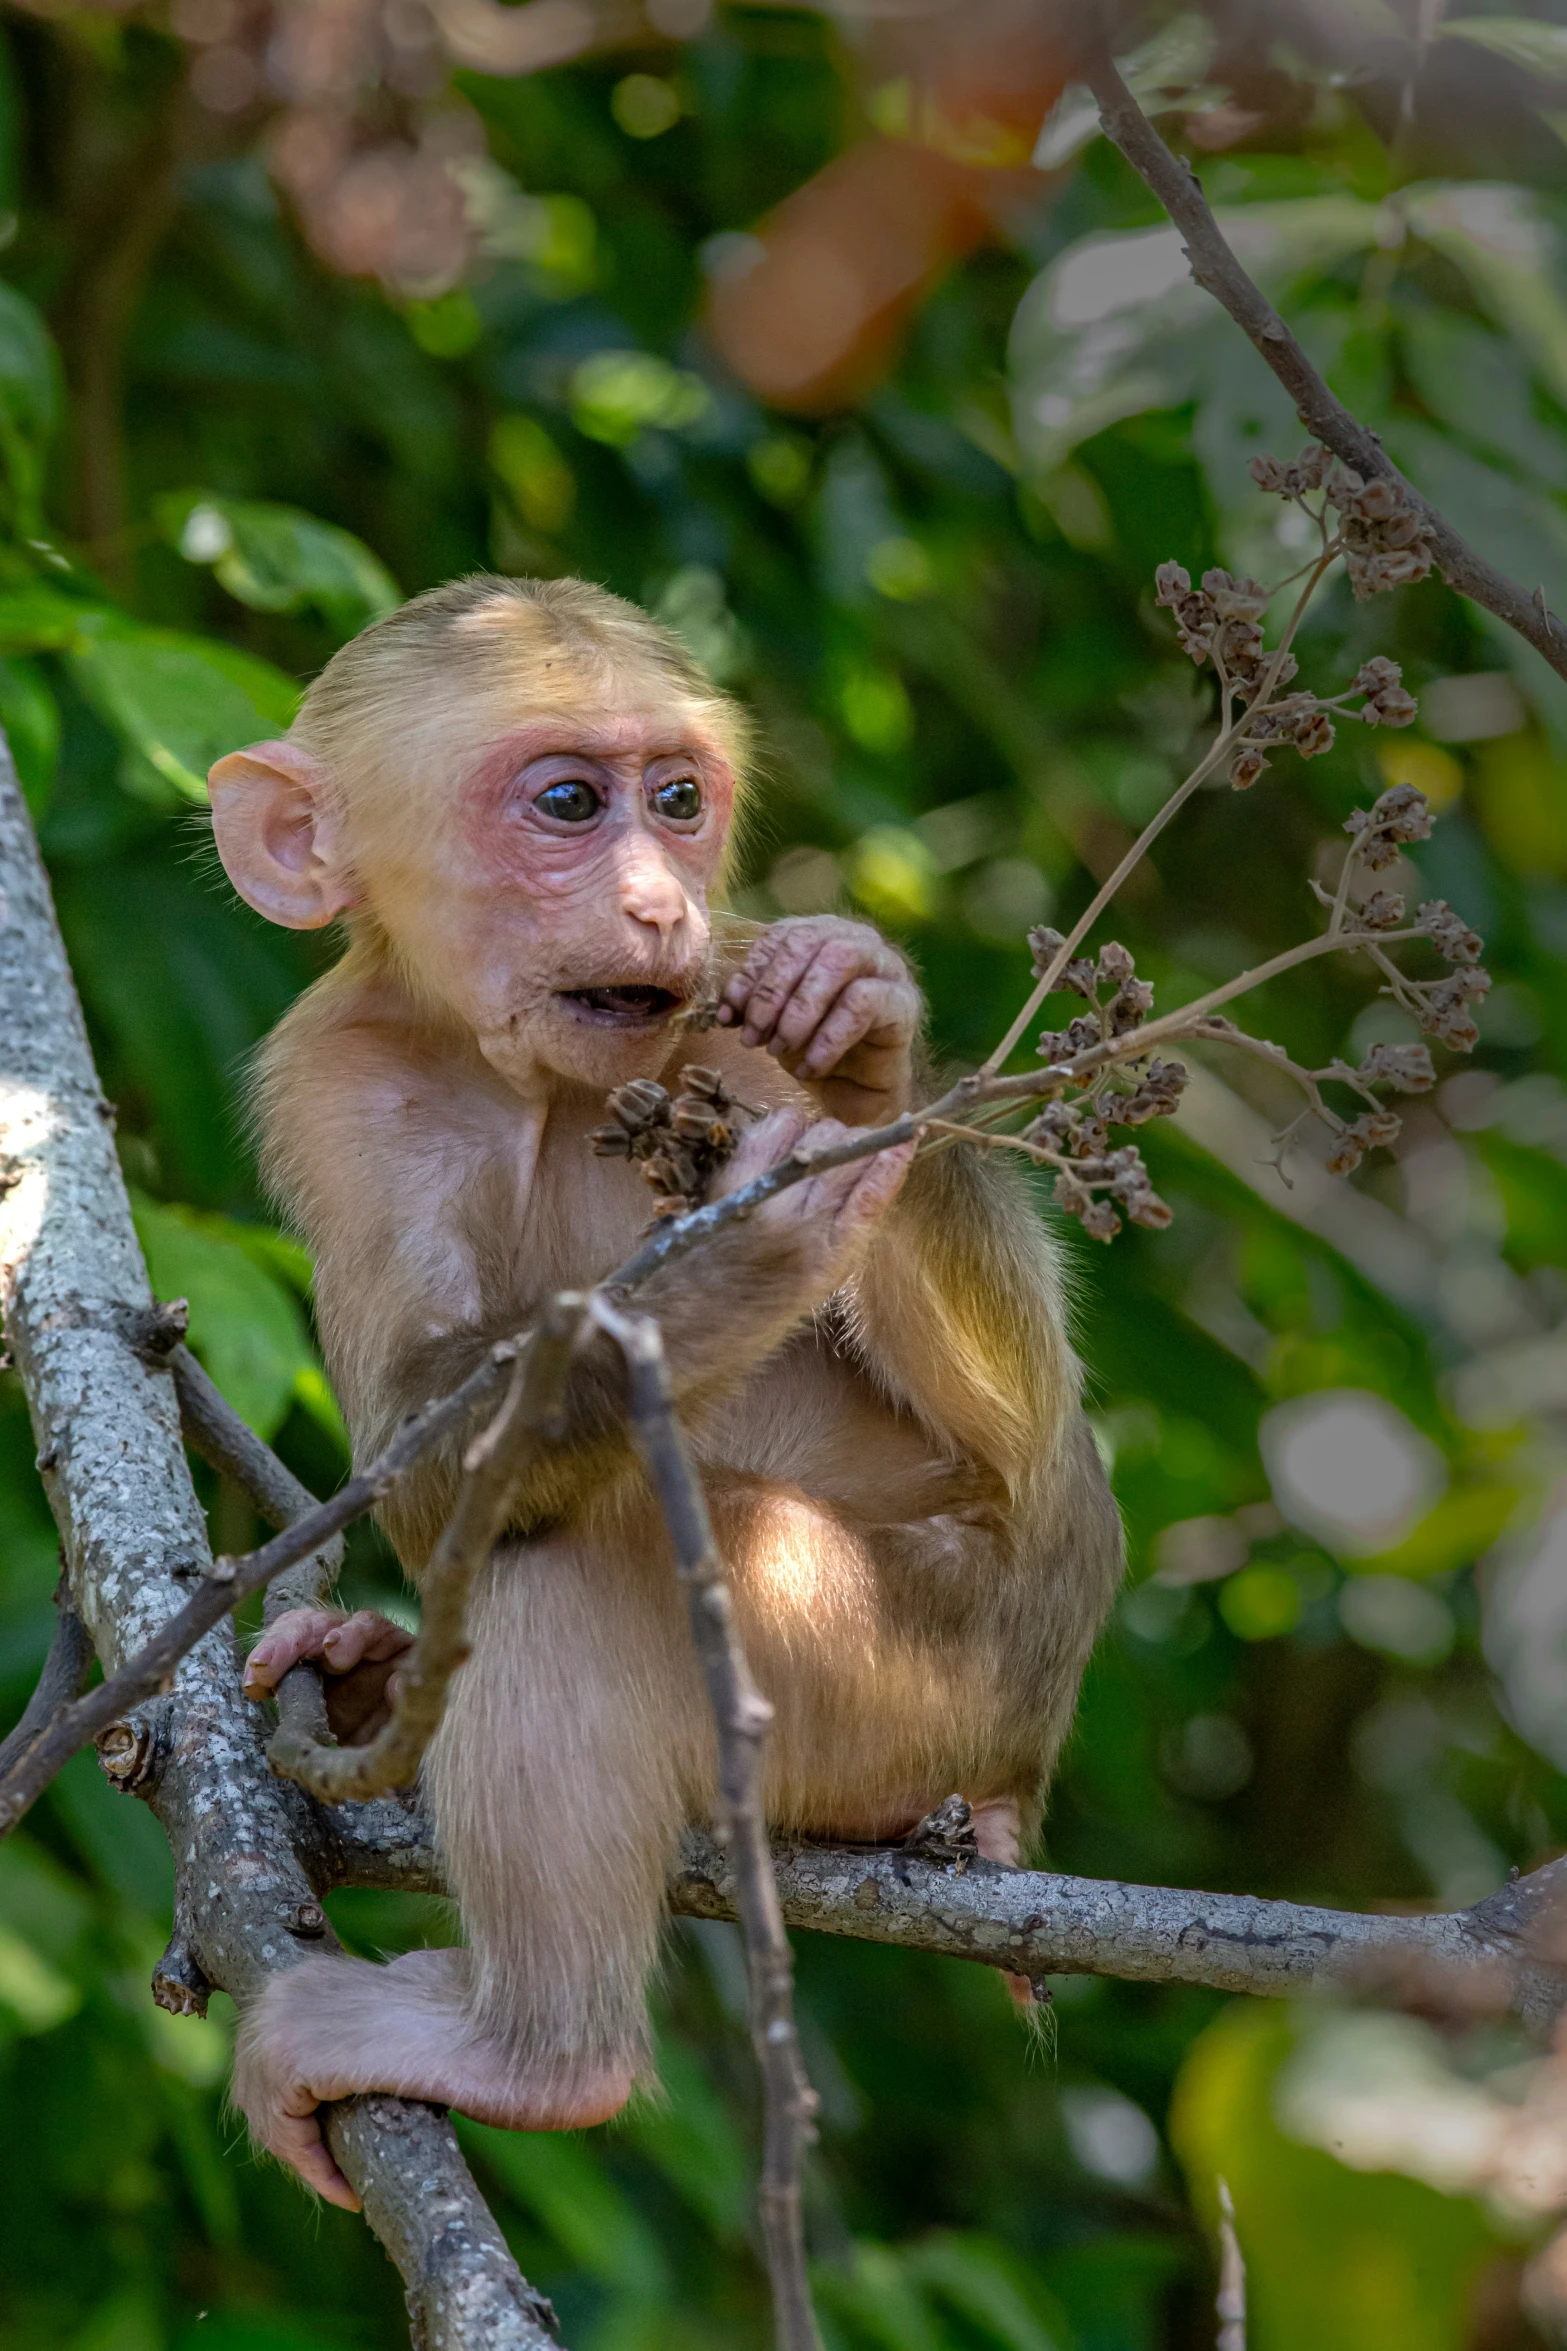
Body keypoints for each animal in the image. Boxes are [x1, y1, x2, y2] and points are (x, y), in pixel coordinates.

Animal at [211, 568, 1127, 2200]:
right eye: (571, 801)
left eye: (680, 800)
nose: (656, 899)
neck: (534, 1081)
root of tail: (1026, 1747)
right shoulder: (335, 1076)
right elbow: (418, 1447)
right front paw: (741, 1257)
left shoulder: (721, 1001)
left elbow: (1022, 1426)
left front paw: (862, 1045)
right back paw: (376, 1680)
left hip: (926, 1657)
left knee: (596, 1556)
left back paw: (540, 2056)